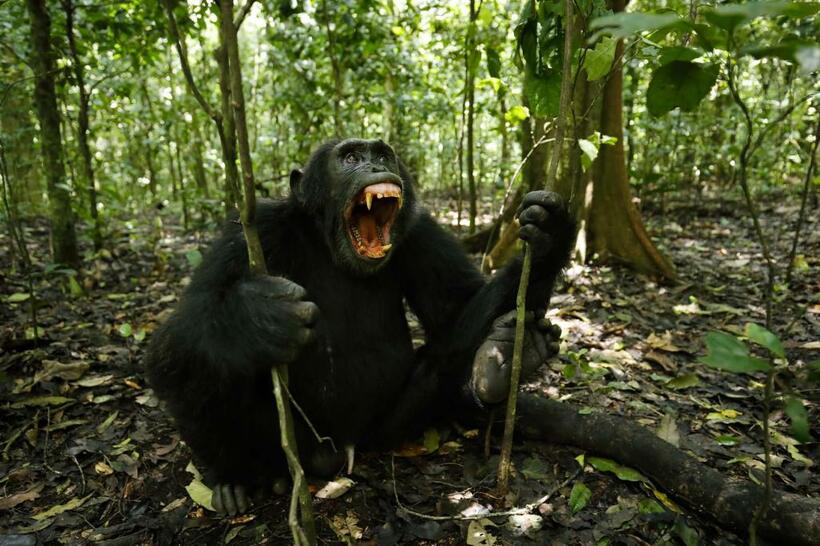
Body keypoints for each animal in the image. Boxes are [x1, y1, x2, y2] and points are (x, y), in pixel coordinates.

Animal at [146, 138, 572, 512]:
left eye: (382, 155)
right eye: (350, 158)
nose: (374, 167)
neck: (328, 244)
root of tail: (342, 451)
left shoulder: (420, 229)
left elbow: (456, 304)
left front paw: (551, 238)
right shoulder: (253, 228)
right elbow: (179, 327)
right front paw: (256, 317)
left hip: (388, 427)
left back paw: (502, 361)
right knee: (199, 368)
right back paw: (233, 480)